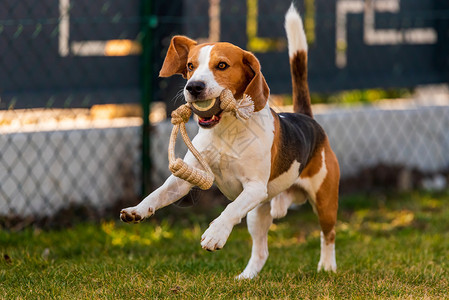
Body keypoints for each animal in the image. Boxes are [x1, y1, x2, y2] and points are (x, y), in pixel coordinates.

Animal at [121, 4, 338, 278]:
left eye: (222, 65)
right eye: (190, 66)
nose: (194, 87)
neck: (225, 129)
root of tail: (307, 118)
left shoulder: (254, 188)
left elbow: (230, 209)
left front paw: (215, 234)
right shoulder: (186, 179)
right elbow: (157, 194)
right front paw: (137, 210)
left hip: (324, 201)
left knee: (327, 235)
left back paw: (328, 266)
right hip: (258, 213)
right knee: (261, 251)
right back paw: (246, 277)